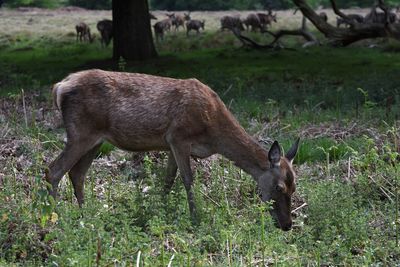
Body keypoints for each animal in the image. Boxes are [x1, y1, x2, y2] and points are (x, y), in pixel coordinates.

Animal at [45, 70, 298, 231]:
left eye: (295, 187)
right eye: (279, 187)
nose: (287, 225)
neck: (213, 132)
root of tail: (59, 86)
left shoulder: (170, 145)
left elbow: (168, 180)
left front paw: (160, 211)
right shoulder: (178, 137)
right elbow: (188, 180)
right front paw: (196, 219)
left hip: (95, 140)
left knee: (77, 173)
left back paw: (86, 215)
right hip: (80, 133)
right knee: (53, 171)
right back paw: (55, 219)